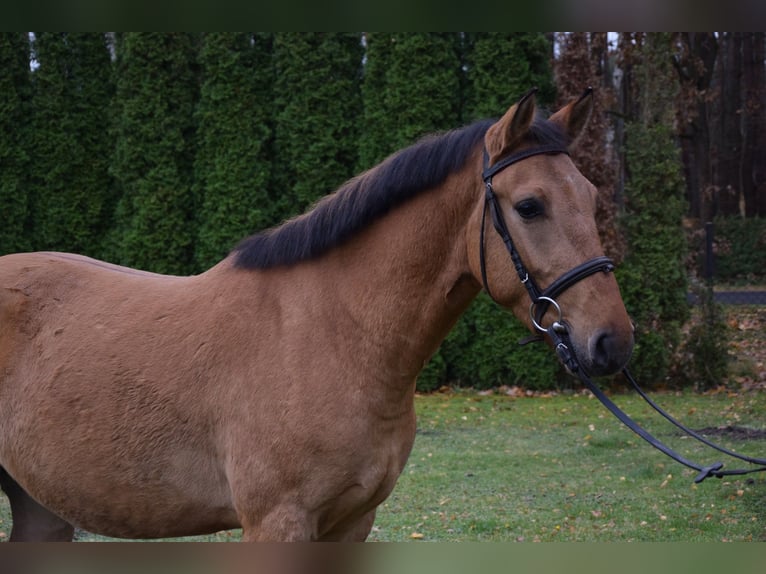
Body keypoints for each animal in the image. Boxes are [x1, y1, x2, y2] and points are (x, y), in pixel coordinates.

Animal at [0, 89, 634, 541]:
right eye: (529, 206)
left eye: (591, 198)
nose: (613, 342)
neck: (335, 336)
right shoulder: (277, 522)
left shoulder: (351, 523)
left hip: (38, 507)